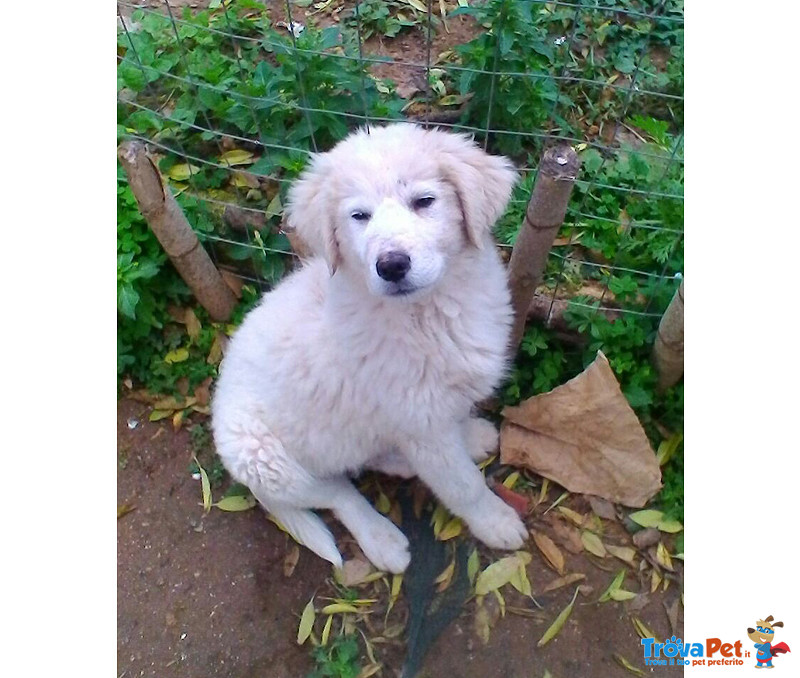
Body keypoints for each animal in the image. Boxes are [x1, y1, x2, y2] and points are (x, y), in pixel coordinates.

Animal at [209, 123, 528, 572]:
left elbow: (455, 422)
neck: (427, 314)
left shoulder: (428, 413)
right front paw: (494, 520)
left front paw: (468, 432)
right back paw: (382, 539)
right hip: (260, 457)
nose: (391, 265)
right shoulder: (420, 422)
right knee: (336, 492)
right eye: (359, 216)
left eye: (424, 201)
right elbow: (462, 484)